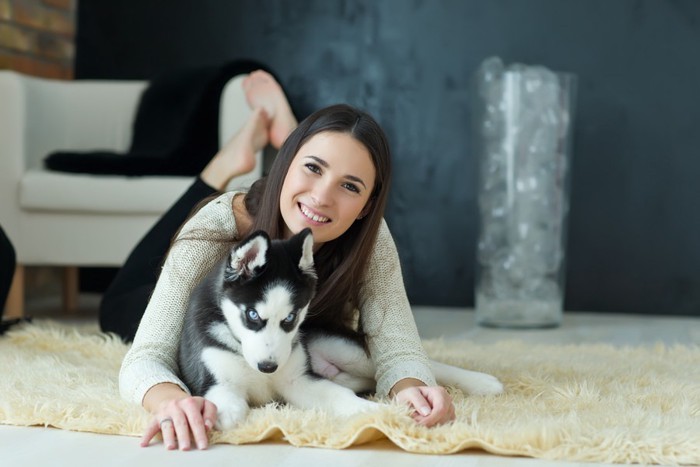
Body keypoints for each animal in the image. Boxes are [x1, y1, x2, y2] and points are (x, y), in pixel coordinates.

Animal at [178, 229, 500, 430]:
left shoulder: (298, 379)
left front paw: (387, 414)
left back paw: (481, 382)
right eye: (252, 315)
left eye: (291, 317)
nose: (268, 367)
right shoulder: (216, 382)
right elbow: (228, 409)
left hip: (336, 347)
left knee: (414, 364)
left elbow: (341, 399)